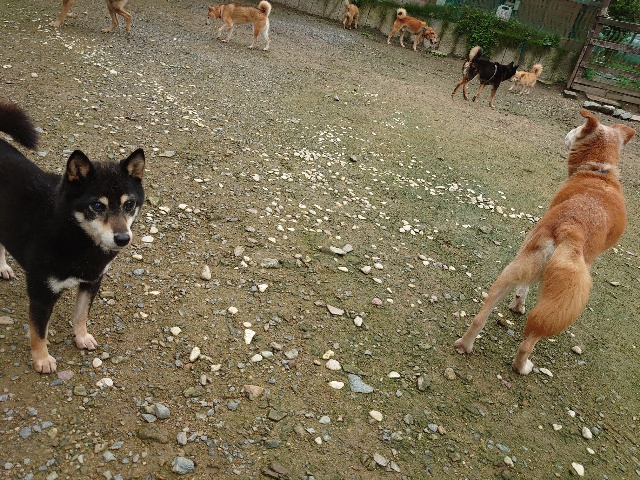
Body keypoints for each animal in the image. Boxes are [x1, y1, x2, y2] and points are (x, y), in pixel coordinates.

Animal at [0, 102, 146, 373]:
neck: (78, 238)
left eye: (129, 204)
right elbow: (39, 331)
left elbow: (81, 315)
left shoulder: (92, 280)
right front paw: (42, 359)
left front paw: (81, 337)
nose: (123, 238)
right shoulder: (41, 291)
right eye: (97, 206)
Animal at [455, 109, 636, 375]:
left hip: (517, 267)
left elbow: (523, 289)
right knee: (528, 342)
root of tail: (570, 227)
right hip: (563, 302)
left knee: (483, 314)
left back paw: (467, 343)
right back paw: (522, 367)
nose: (568, 132)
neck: (599, 171)